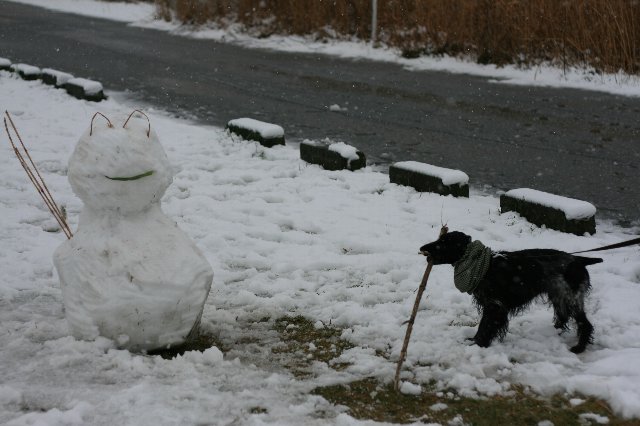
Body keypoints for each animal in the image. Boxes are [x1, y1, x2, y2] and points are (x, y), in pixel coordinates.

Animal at [422, 231, 604, 354]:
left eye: (444, 242)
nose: (422, 248)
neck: (486, 267)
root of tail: (578, 260)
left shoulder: (494, 305)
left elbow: (485, 326)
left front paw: (477, 343)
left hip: (570, 297)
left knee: (584, 323)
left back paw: (579, 347)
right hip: (558, 294)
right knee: (562, 315)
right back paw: (555, 332)